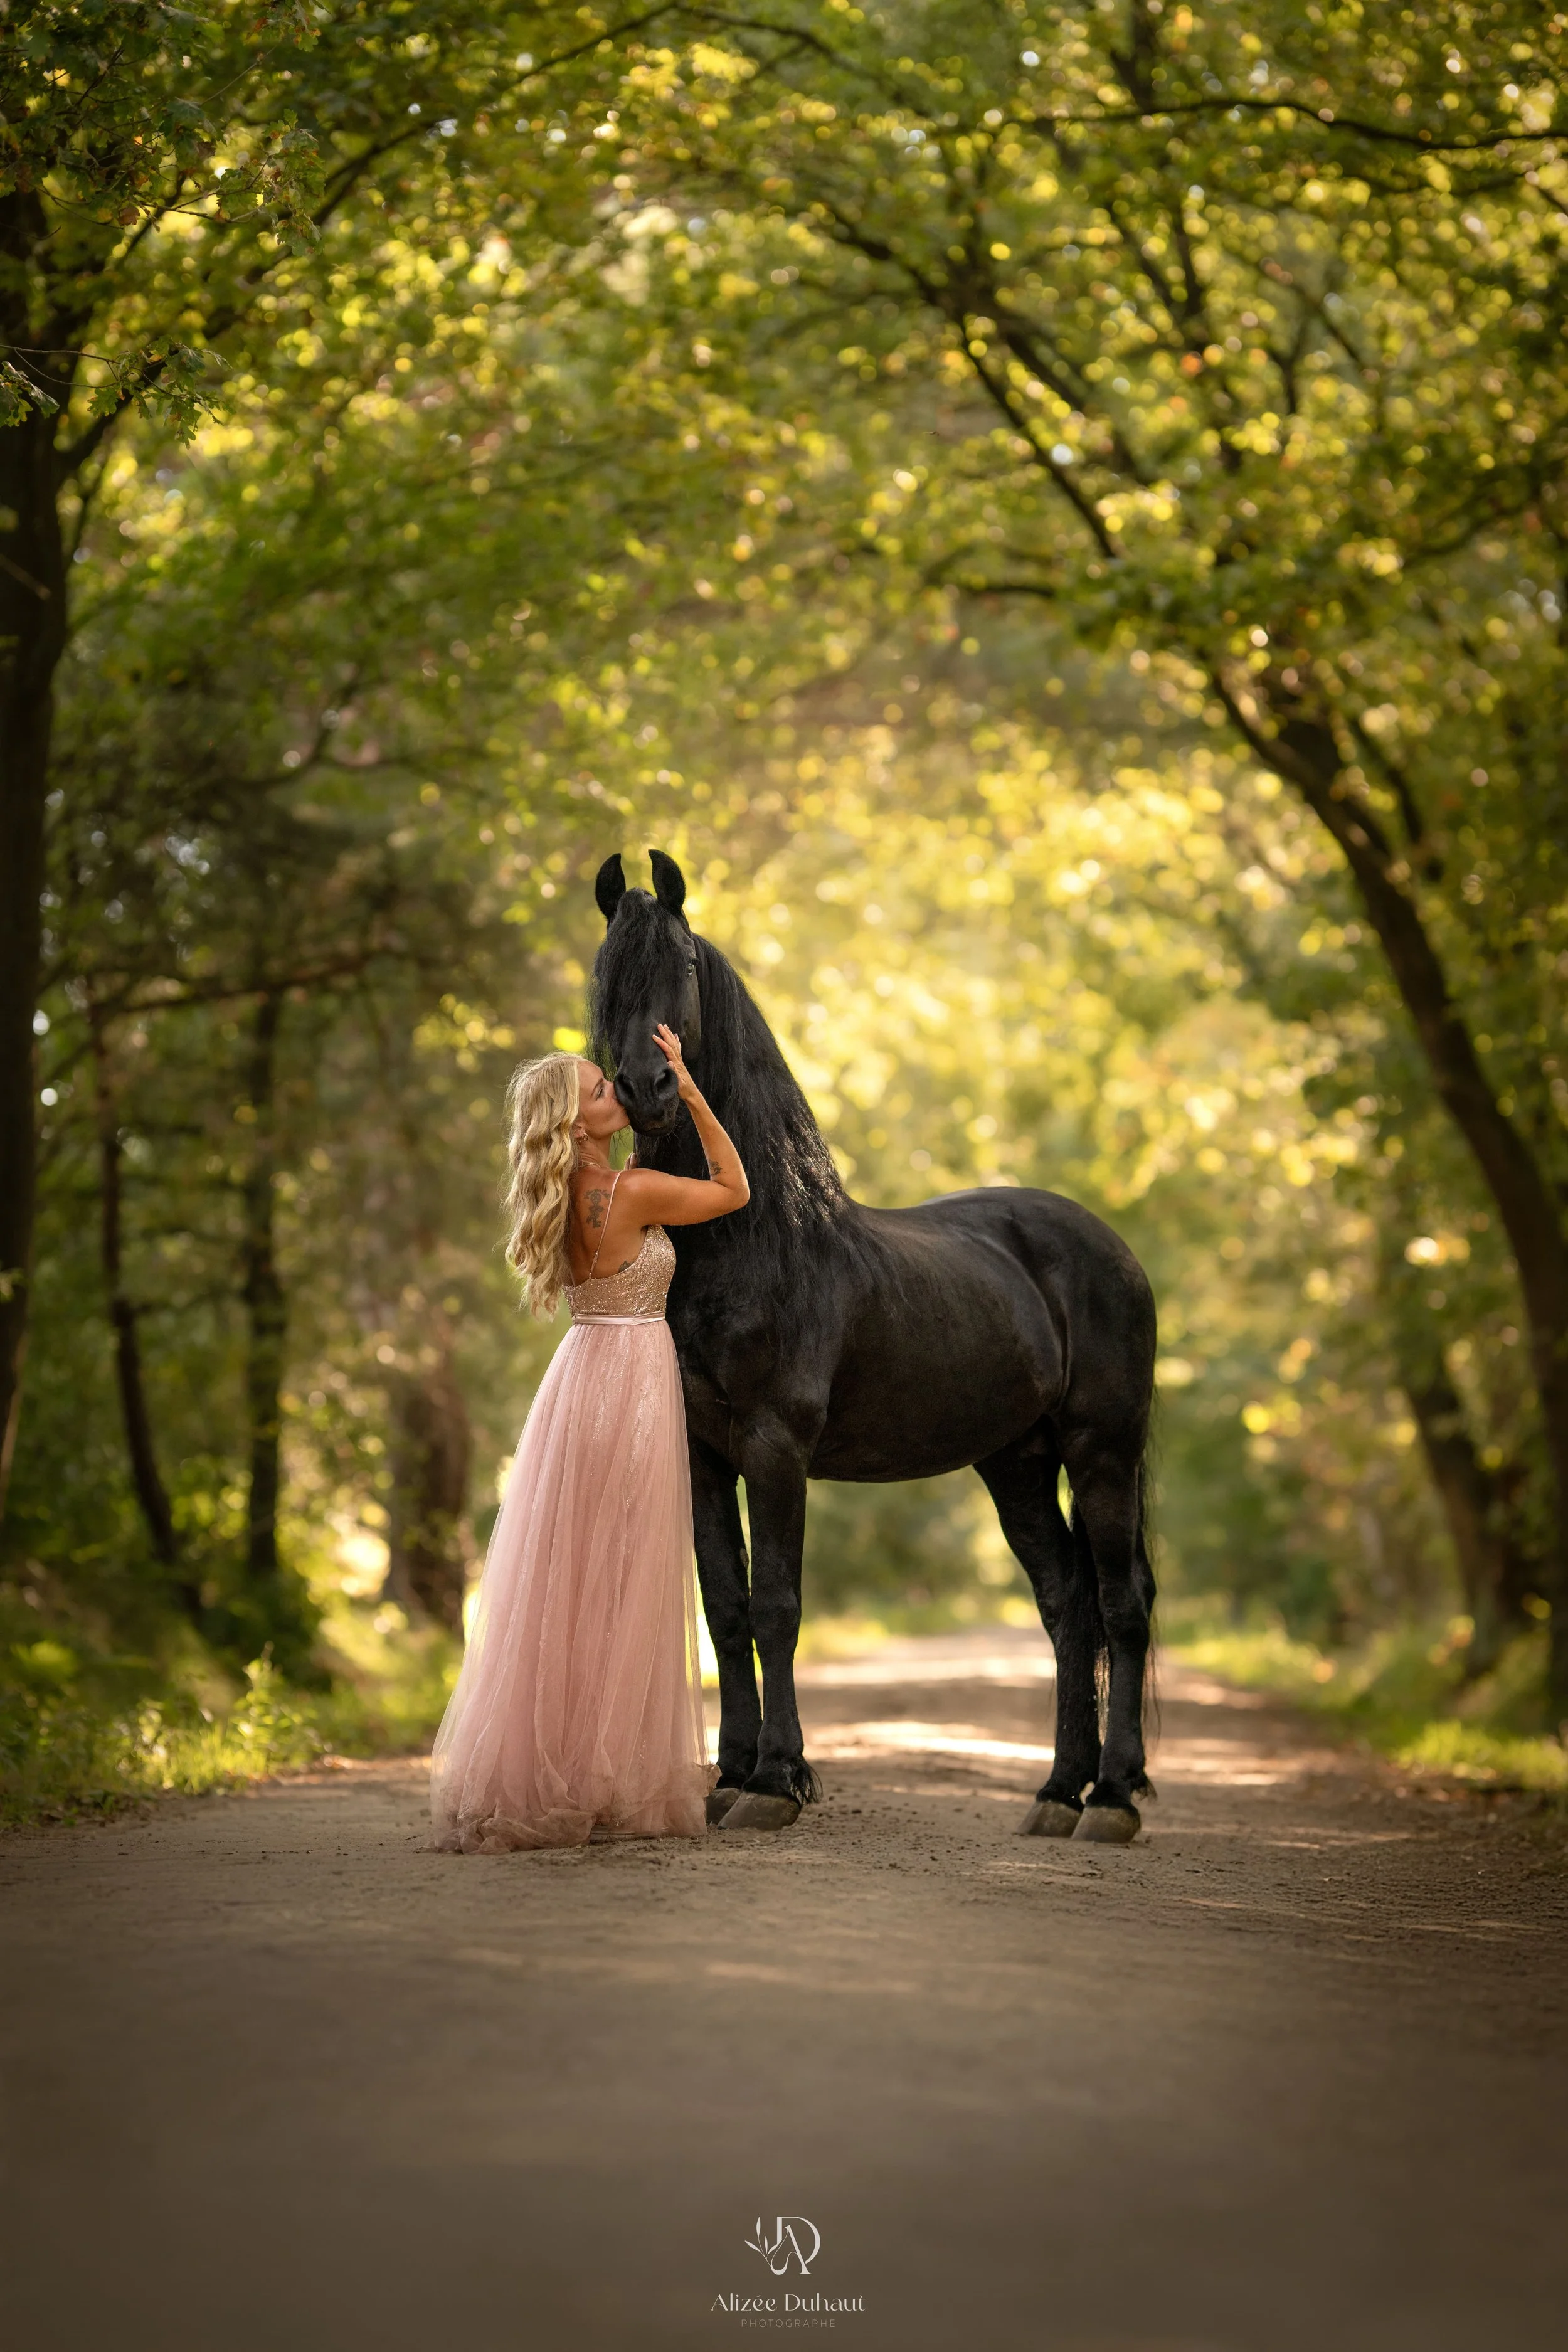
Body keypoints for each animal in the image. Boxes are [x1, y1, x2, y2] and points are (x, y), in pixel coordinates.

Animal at [589, 849, 1158, 1842]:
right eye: (604, 970)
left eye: (685, 966)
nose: (646, 1090)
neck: (752, 1238)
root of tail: (1110, 1248)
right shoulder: (705, 1454)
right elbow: (726, 1608)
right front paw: (729, 1776)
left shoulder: (776, 1447)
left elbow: (776, 1606)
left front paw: (777, 1782)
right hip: (1017, 1464)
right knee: (1069, 1607)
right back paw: (1057, 1792)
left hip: (1103, 1450)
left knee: (1122, 1607)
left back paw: (1114, 1799)